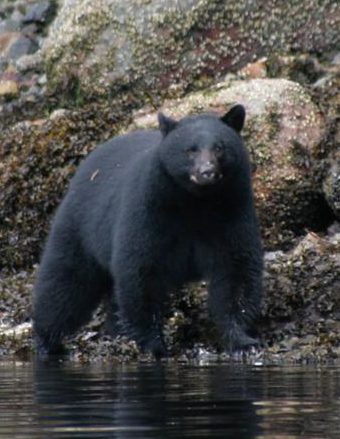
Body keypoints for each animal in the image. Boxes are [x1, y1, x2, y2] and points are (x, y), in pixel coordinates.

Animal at [33, 105, 262, 358]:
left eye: (219, 147)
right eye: (190, 150)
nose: (207, 172)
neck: (196, 202)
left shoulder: (232, 210)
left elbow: (236, 270)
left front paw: (242, 341)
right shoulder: (149, 209)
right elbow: (140, 271)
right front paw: (155, 346)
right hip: (79, 227)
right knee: (64, 285)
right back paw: (48, 343)